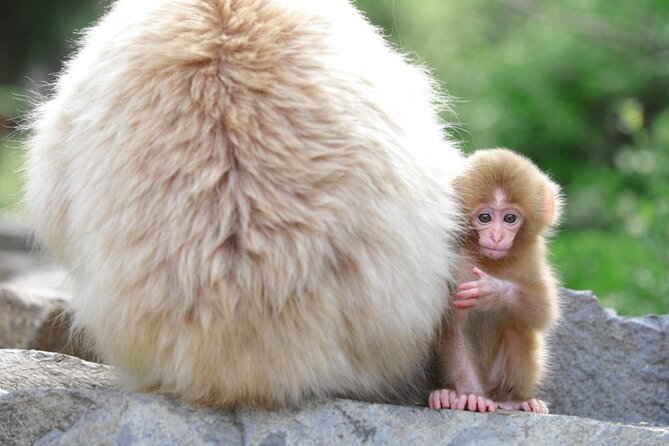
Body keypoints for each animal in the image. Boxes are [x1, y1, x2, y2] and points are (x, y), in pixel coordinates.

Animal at [428, 148, 562, 414]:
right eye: (485, 218)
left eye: (510, 218)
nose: (497, 237)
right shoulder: (456, 263)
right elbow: (454, 329)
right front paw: (470, 395)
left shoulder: (532, 258)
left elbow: (543, 311)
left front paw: (492, 291)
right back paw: (446, 394)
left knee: (518, 329)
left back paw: (517, 401)